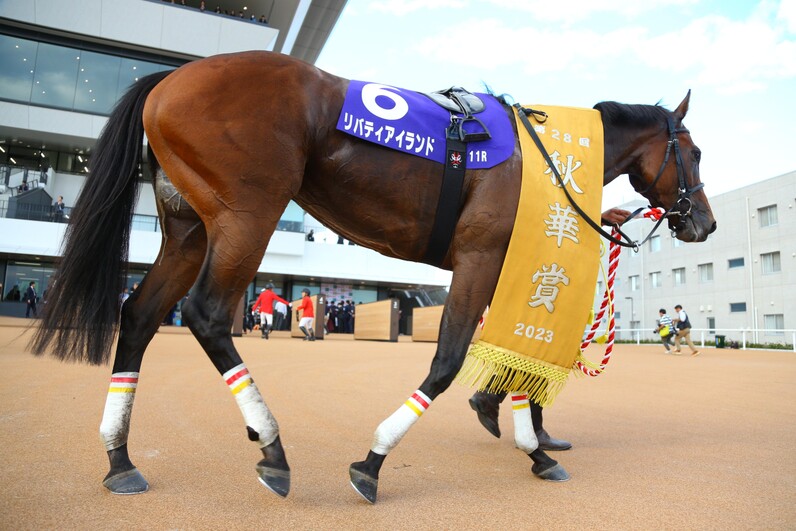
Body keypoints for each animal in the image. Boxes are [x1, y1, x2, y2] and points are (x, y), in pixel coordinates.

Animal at [30, 51, 716, 503]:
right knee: (205, 315)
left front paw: (535, 447)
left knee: (140, 316)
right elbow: (448, 360)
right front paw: (374, 459)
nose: (705, 222)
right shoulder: (480, 258)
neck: (546, 161)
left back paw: (119, 459)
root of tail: (169, 77)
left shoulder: (509, 268)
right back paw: (272, 448)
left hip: (188, 231)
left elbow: (511, 359)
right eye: (696, 152)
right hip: (246, 218)